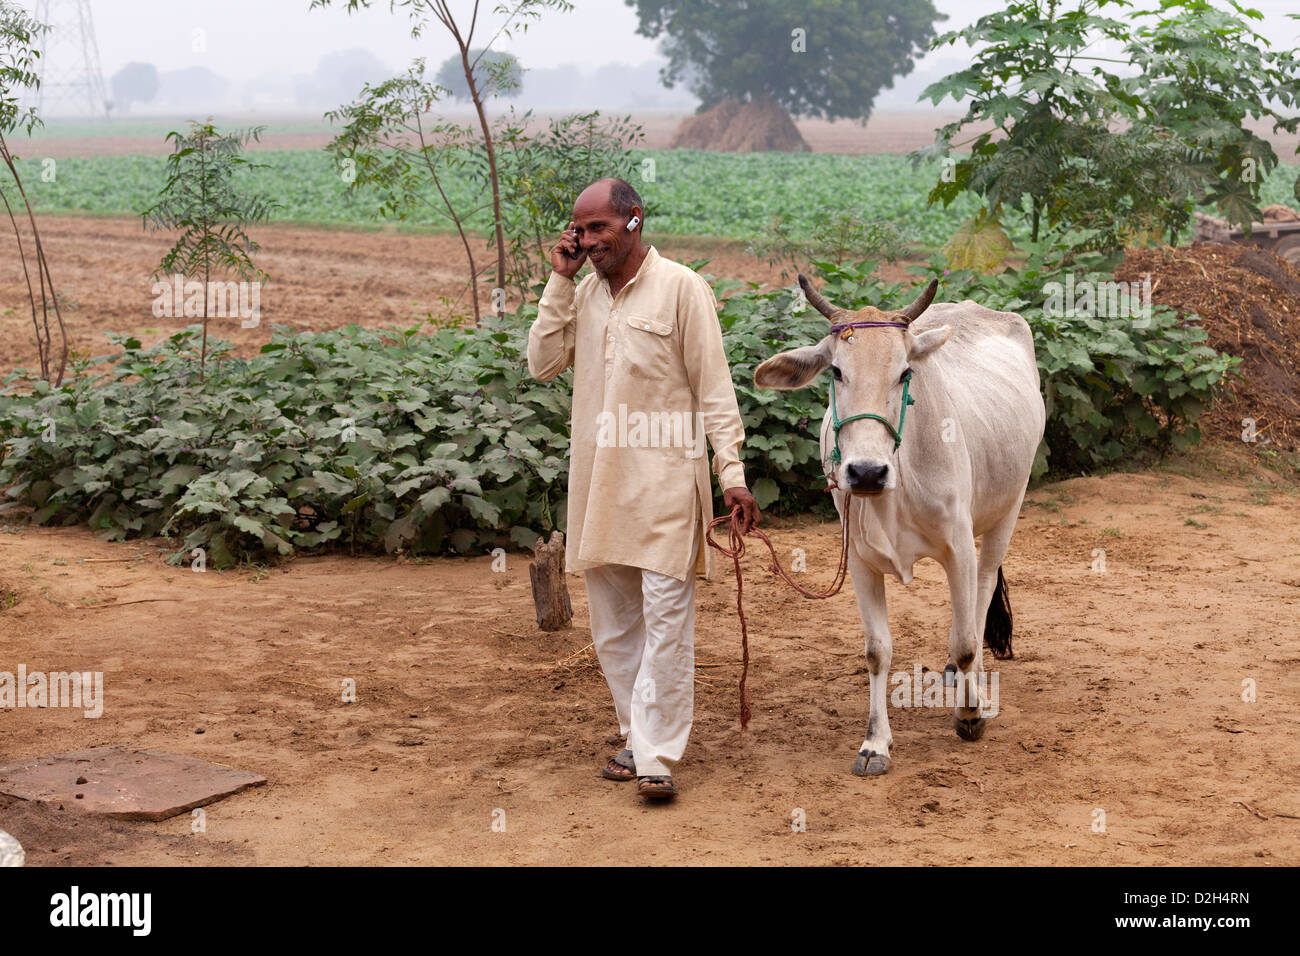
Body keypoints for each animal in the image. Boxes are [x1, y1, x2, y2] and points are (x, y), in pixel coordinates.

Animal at [754, 277, 1045, 780]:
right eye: (836, 371)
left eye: (905, 372)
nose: (867, 473)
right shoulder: (859, 561)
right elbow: (877, 651)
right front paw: (875, 743)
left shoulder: (959, 547)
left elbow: (966, 641)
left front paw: (970, 713)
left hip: (1009, 507)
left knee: (983, 595)